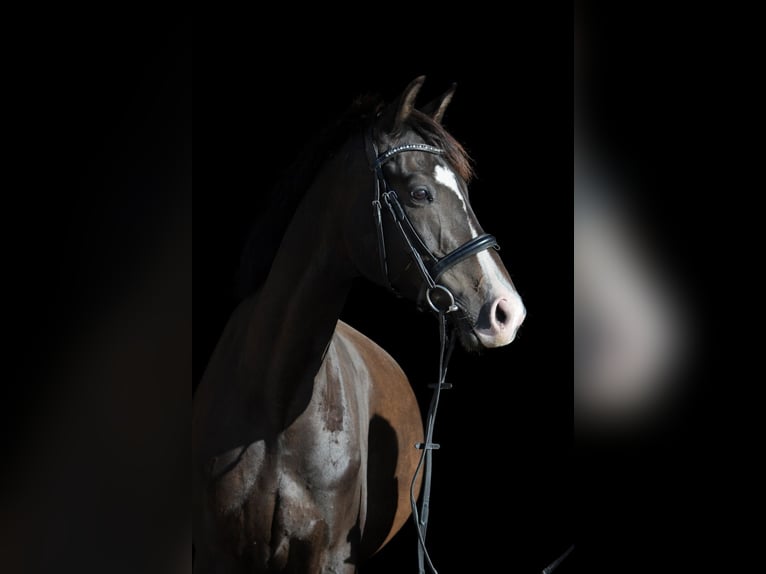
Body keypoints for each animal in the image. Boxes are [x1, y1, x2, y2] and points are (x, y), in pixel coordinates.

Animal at [192, 76, 526, 573]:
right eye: (420, 193)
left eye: (466, 195)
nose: (508, 312)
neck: (273, 405)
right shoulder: (216, 553)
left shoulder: (330, 556)